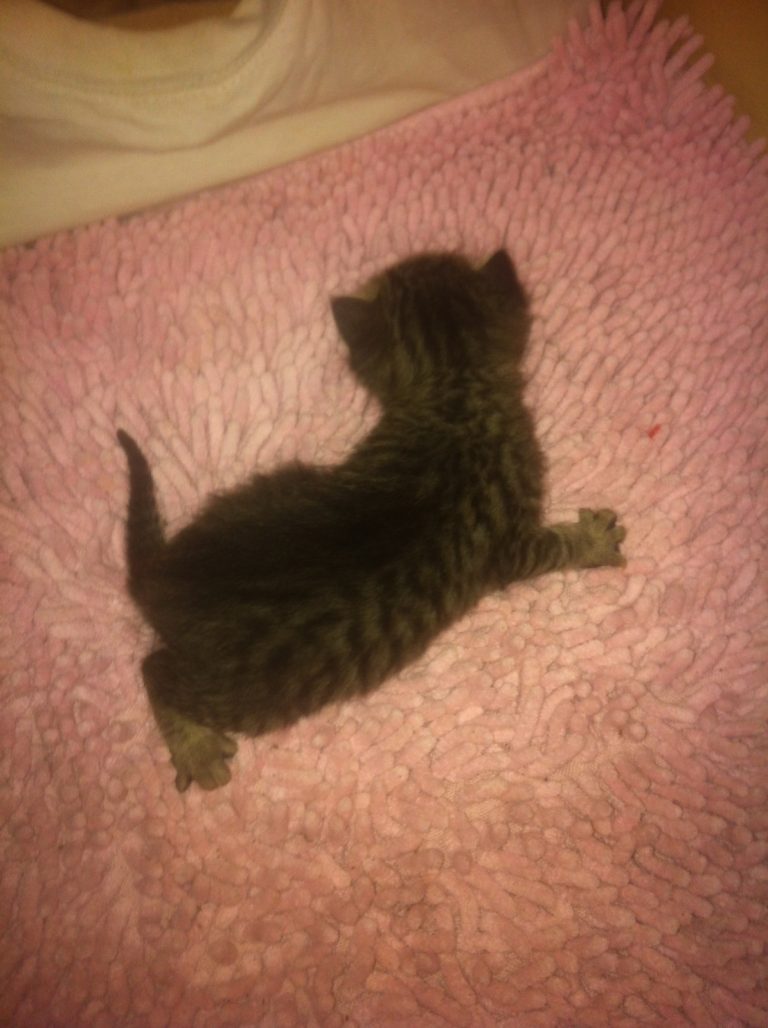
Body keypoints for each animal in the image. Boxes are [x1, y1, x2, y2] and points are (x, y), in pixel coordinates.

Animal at [116, 249, 626, 792]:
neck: (455, 389)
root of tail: (161, 577)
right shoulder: (509, 543)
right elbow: (552, 547)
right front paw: (591, 541)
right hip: (243, 690)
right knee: (153, 669)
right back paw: (194, 746)